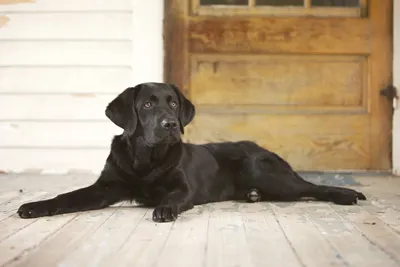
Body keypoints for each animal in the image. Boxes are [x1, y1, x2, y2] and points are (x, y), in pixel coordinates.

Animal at [19, 82, 368, 223]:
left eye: (173, 103)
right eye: (147, 104)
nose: (171, 124)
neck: (146, 160)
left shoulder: (183, 187)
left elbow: (173, 196)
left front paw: (164, 208)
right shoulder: (105, 187)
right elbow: (67, 197)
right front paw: (36, 206)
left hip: (266, 172)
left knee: (311, 187)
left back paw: (347, 194)